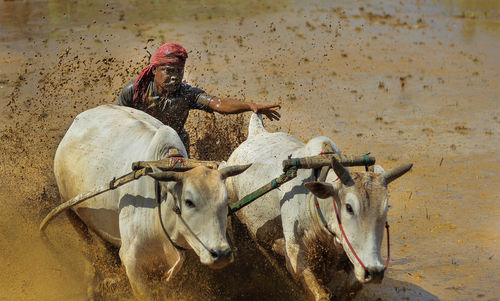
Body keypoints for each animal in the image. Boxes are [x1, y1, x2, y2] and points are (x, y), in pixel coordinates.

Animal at [51, 104, 250, 296]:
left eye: (225, 201)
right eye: (189, 202)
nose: (221, 253)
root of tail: (78, 120)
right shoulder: (131, 262)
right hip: (71, 212)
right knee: (88, 247)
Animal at [225, 113, 412, 298]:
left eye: (385, 208)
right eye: (349, 207)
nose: (374, 271)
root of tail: (256, 132)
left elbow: (352, 286)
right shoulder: (295, 253)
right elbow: (319, 294)